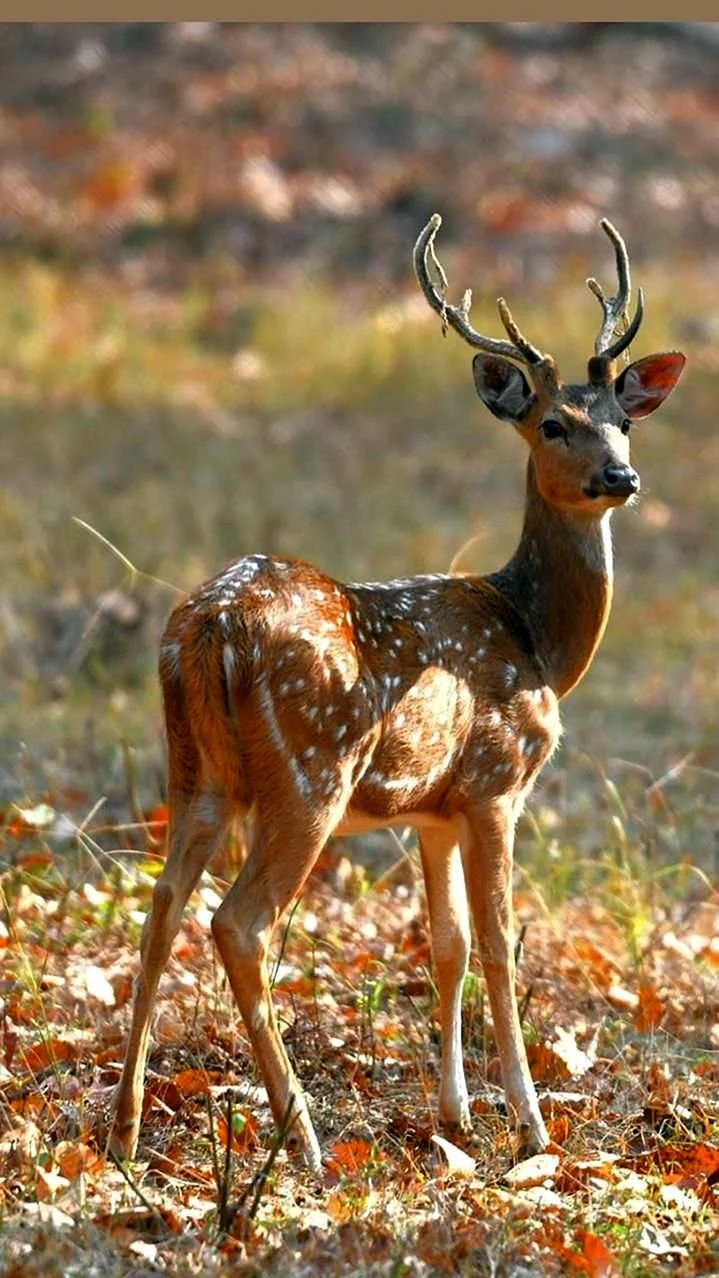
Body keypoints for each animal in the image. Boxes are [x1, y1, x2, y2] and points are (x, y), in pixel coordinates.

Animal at [110, 214, 685, 1171]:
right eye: (552, 424)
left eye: (620, 425)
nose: (621, 479)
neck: (536, 638)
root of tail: (211, 629)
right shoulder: (494, 785)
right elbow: (498, 945)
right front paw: (528, 1127)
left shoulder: (433, 809)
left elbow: (445, 946)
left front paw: (454, 1118)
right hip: (309, 770)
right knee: (240, 923)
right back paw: (301, 1138)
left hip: (194, 768)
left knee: (159, 909)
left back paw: (122, 1130)